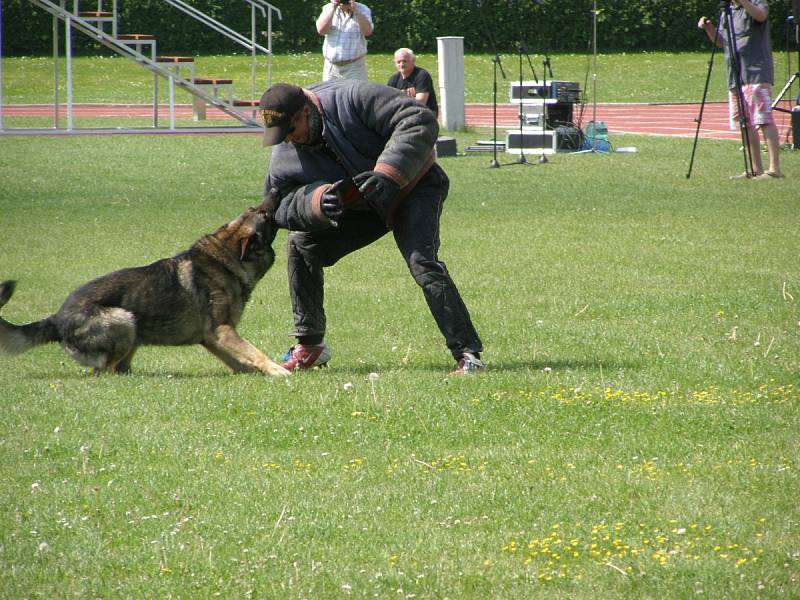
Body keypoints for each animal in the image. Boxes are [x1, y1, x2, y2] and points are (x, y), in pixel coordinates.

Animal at [0, 195, 288, 378]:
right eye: (264, 214)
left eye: (256, 208)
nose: (275, 190)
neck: (224, 259)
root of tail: (56, 318)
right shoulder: (224, 331)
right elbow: (255, 352)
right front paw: (277, 370)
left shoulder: (212, 338)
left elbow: (238, 360)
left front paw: (253, 373)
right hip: (123, 319)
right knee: (102, 372)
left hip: (133, 331)